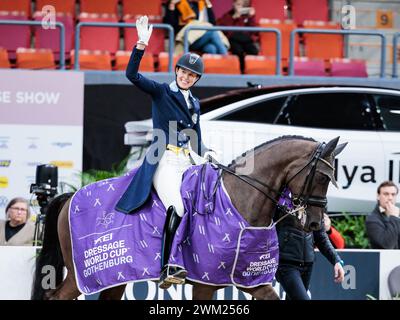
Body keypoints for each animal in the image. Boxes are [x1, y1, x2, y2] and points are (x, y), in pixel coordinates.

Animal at [31, 135, 346, 300]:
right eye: (323, 176)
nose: (315, 224)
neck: (238, 200)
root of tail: (70, 197)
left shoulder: (250, 280)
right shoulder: (204, 282)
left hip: (113, 277)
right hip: (80, 275)